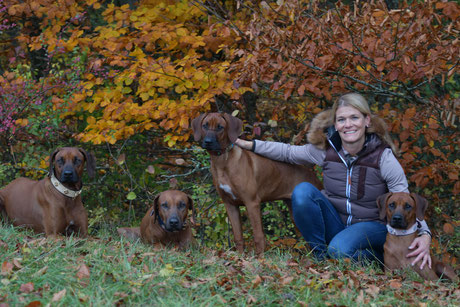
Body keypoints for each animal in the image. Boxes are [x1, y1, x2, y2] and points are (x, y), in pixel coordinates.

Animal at [191, 113, 324, 258]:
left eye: (220, 127)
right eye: (205, 125)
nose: (208, 141)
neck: (222, 161)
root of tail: (311, 173)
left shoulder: (252, 202)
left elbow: (258, 236)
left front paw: (260, 259)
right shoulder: (230, 205)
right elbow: (238, 237)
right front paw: (240, 258)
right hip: (294, 213)